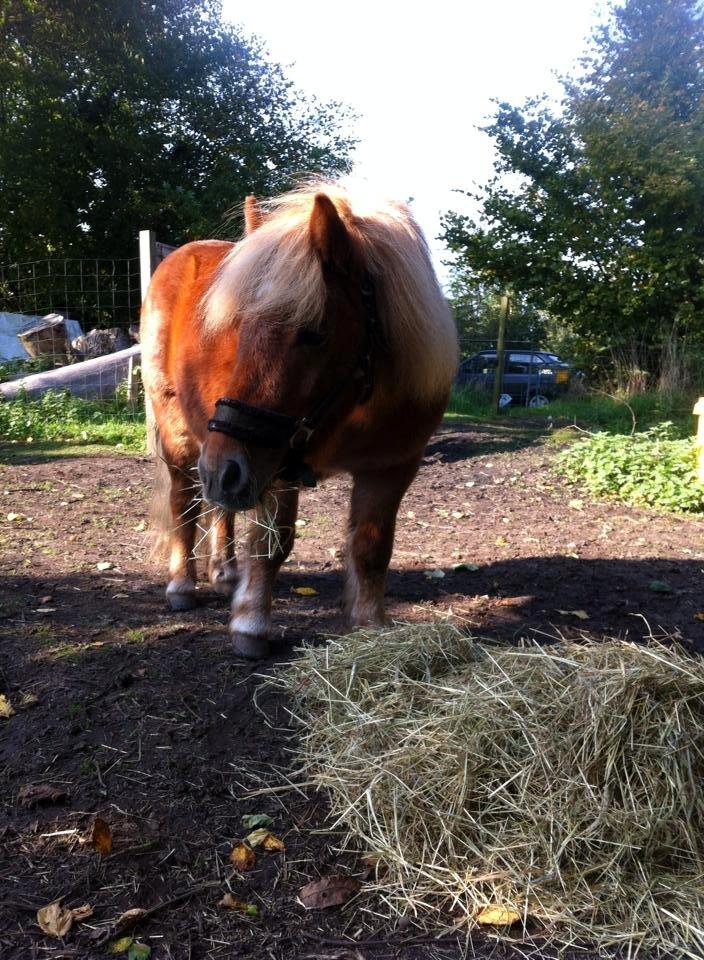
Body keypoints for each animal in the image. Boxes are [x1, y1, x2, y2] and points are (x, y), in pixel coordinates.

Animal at [142, 183, 460, 656]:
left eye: (313, 333)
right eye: (238, 328)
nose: (222, 469)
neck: (358, 404)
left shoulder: (392, 467)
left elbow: (371, 546)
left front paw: (370, 625)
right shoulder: (275, 464)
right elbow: (271, 543)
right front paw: (251, 623)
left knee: (219, 507)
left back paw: (224, 571)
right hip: (185, 437)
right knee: (185, 502)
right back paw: (183, 584)